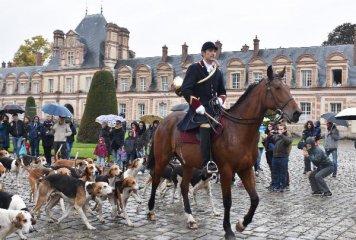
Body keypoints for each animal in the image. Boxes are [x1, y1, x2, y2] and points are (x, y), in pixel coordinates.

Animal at [147, 65, 300, 238]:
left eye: (288, 87)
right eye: (277, 88)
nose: (297, 113)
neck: (237, 130)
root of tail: (163, 121)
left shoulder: (246, 169)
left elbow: (255, 199)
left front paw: (241, 224)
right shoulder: (226, 171)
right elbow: (227, 201)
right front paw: (228, 230)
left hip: (187, 164)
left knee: (184, 187)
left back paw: (191, 218)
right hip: (162, 158)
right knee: (156, 180)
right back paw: (151, 211)